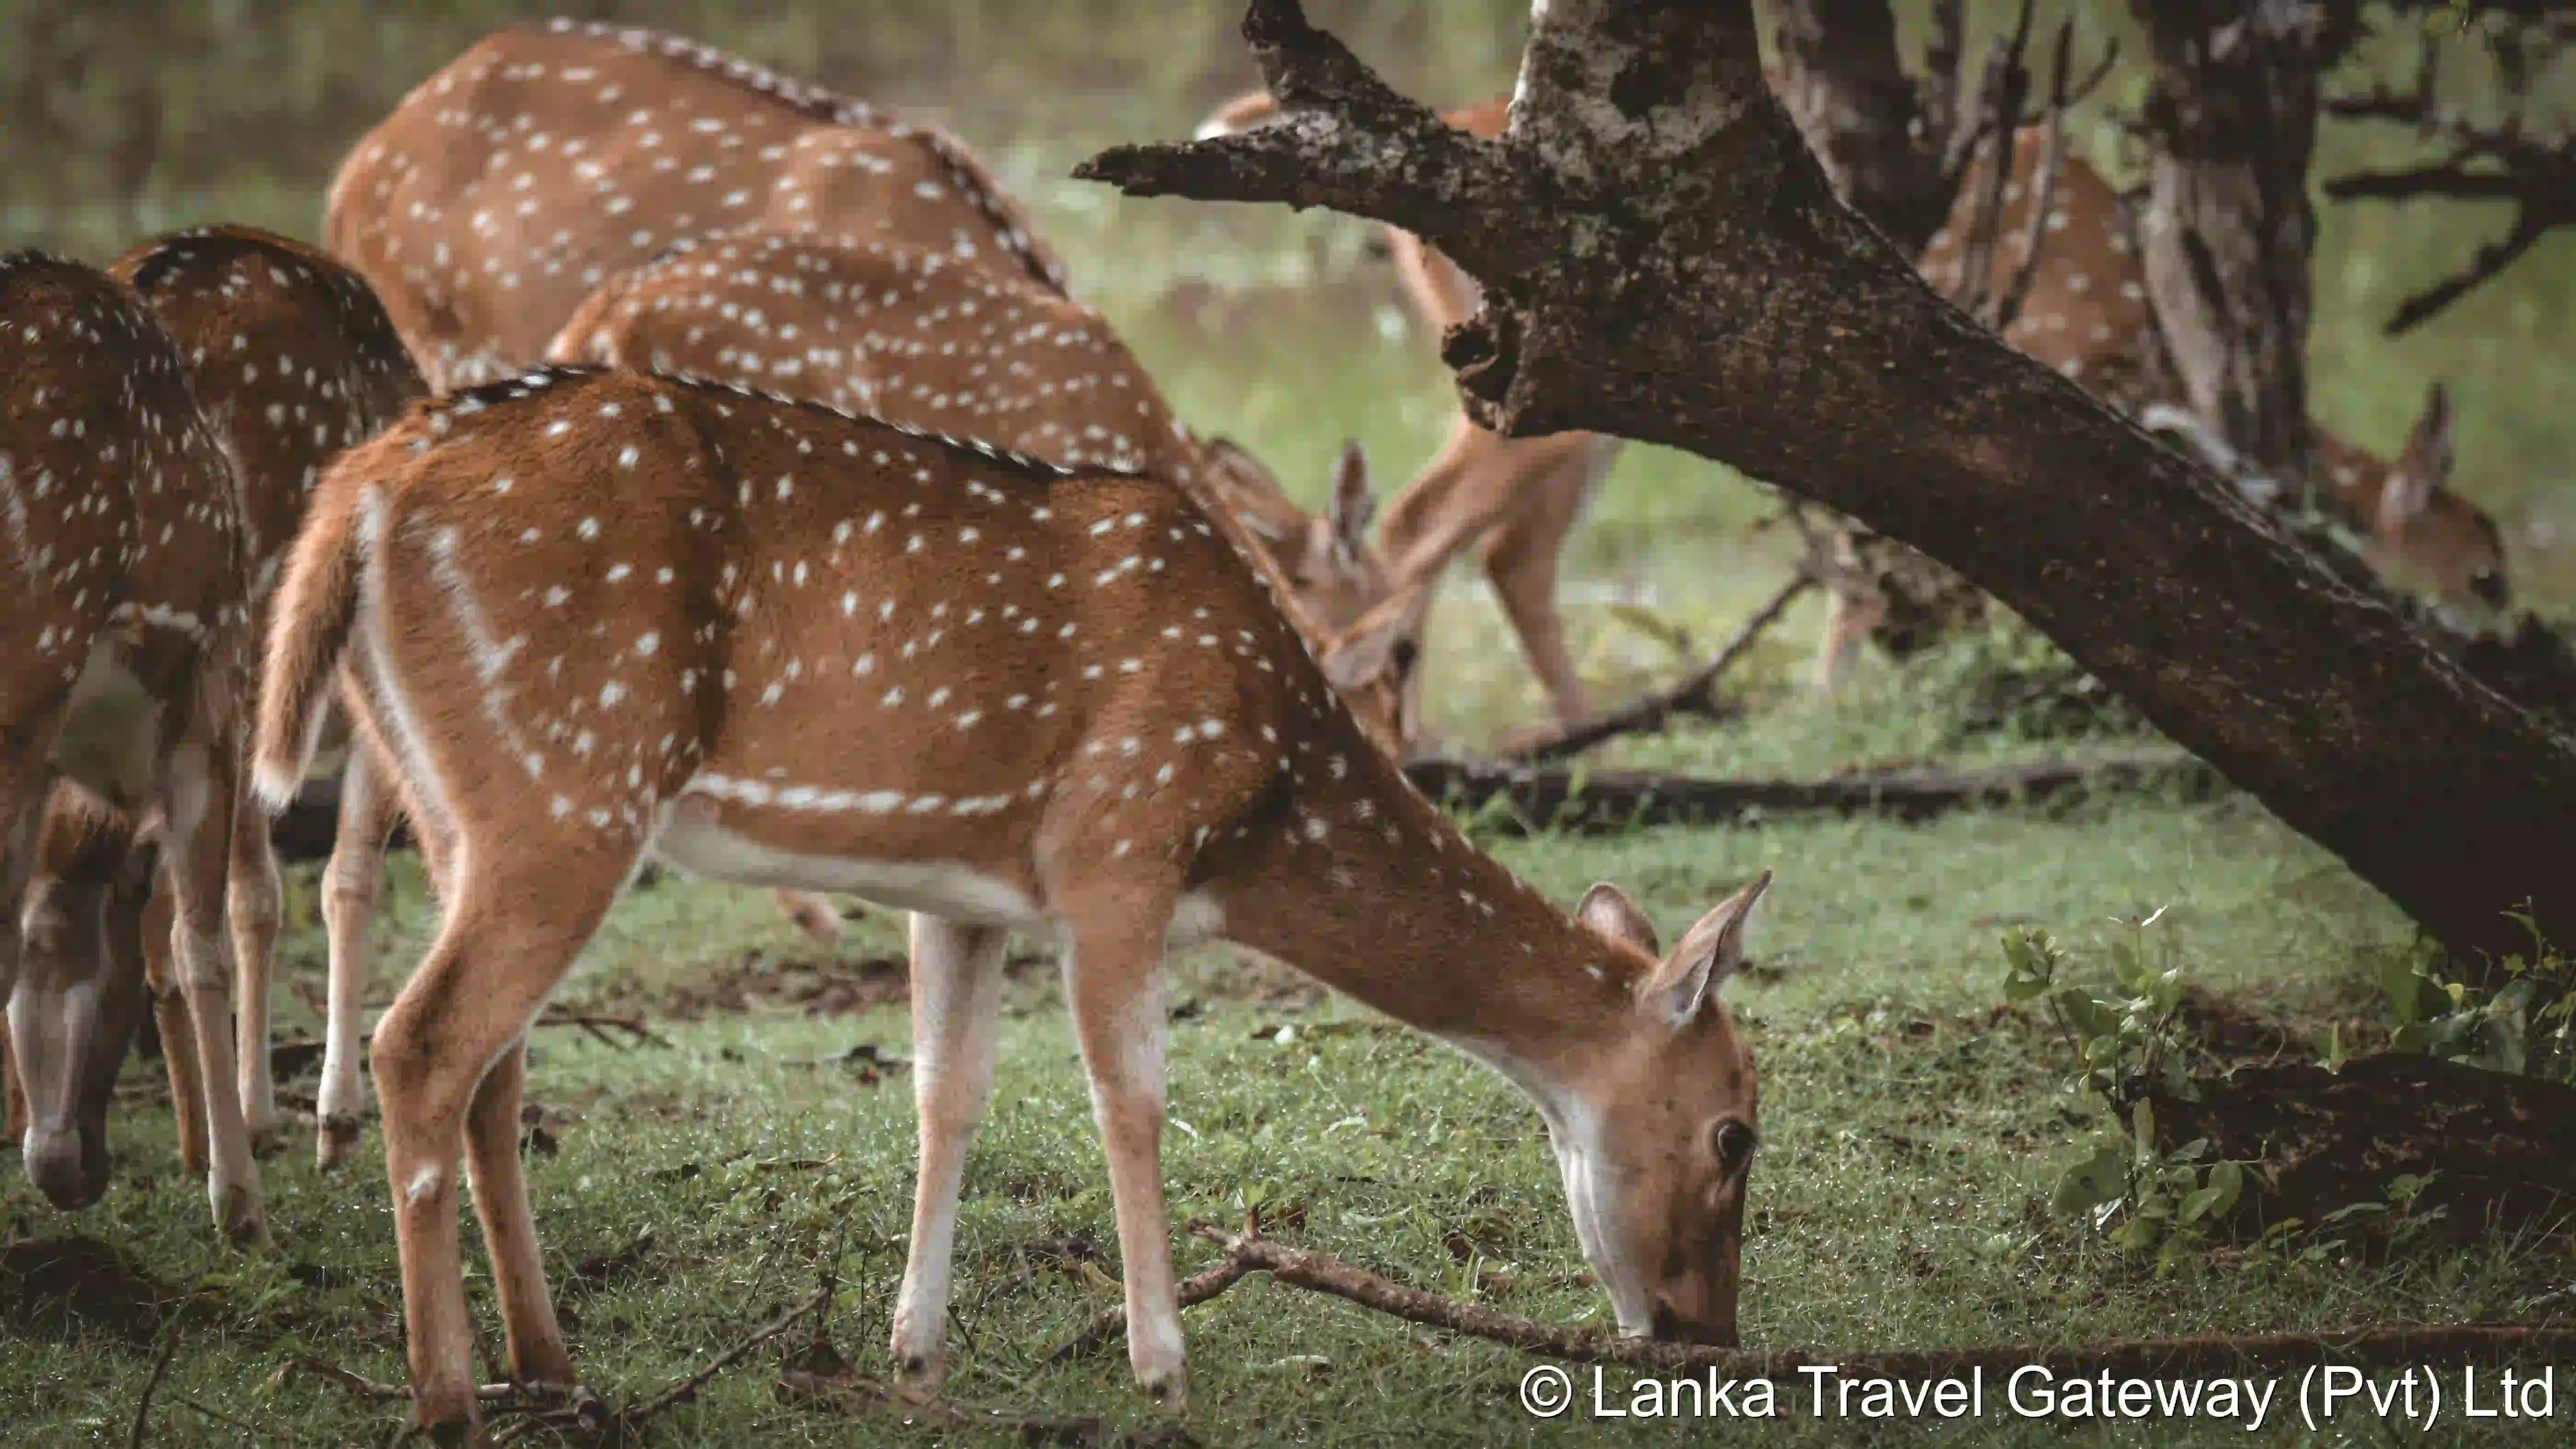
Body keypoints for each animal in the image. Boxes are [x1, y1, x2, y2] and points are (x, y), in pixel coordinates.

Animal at [251, 364, 1776, 1437]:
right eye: (1734, 1129)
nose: (1708, 1336)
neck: (1257, 794)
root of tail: (358, 488)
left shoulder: (961, 887)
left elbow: (948, 1091)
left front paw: (914, 1352)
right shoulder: (1119, 846)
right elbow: (1131, 1098)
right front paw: (1162, 1363)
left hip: (454, 794)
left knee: (490, 1065)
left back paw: (552, 1364)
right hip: (566, 781)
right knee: (420, 1041)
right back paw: (448, 1396)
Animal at [1201, 91, 2513, 719]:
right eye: (2487, 569)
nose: (2505, 646)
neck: (2140, 335)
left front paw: (1833, 689)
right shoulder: (2021, 359)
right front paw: (1842, 690)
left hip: (1546, 383)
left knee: (1503, 552)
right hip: (1546, 377)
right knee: (1422, 524)